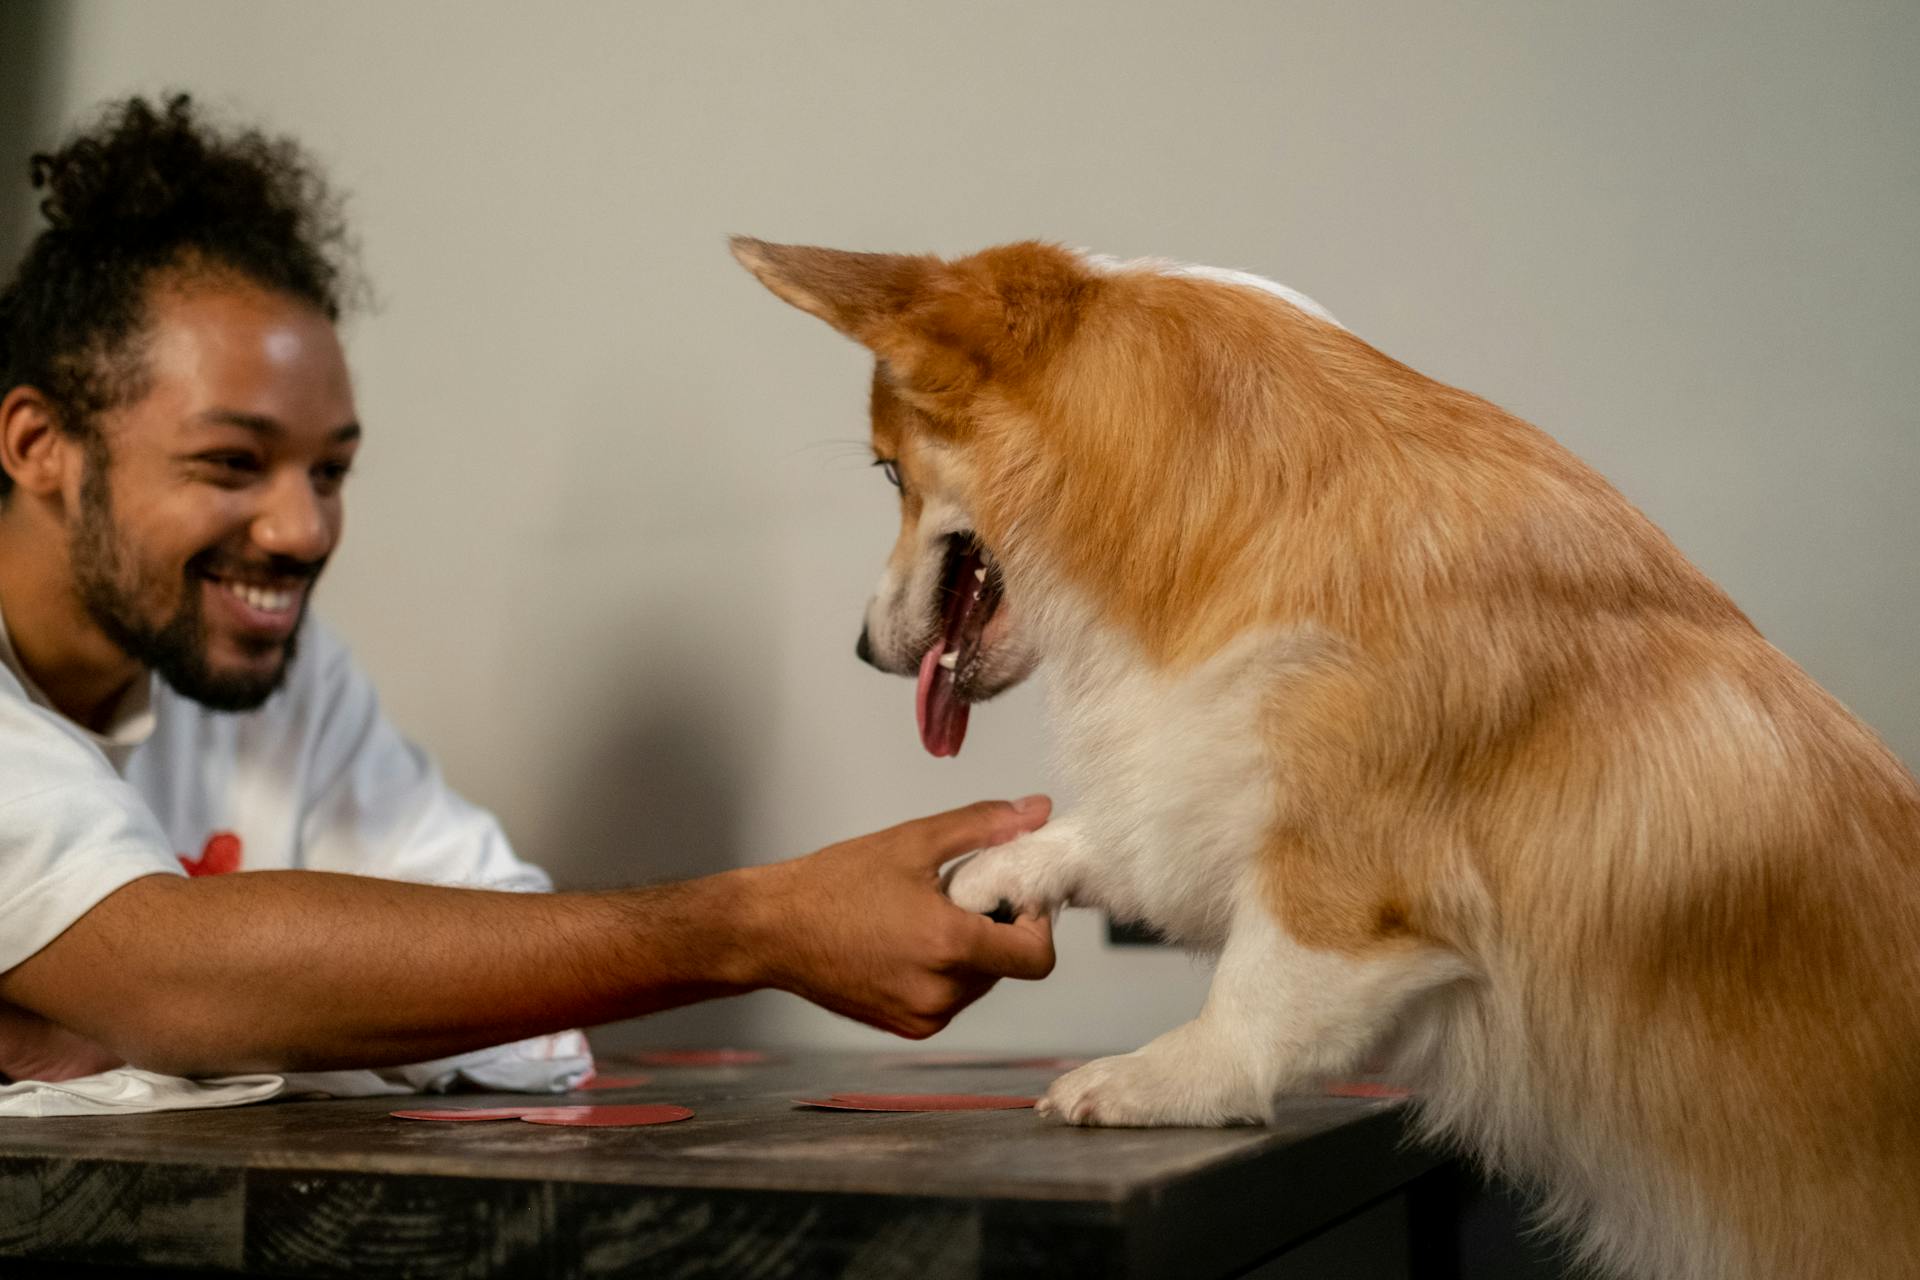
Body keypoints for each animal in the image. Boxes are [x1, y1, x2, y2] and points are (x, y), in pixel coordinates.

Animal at [729, 235, 1920, 1274]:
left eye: (892, 474)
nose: (859, 647)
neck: (1218, 511)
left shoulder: (1351, 878)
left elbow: (1261, 985)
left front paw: (1158, 1076)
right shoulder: (1219, 767)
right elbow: (1121, 831)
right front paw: (1004, 870)